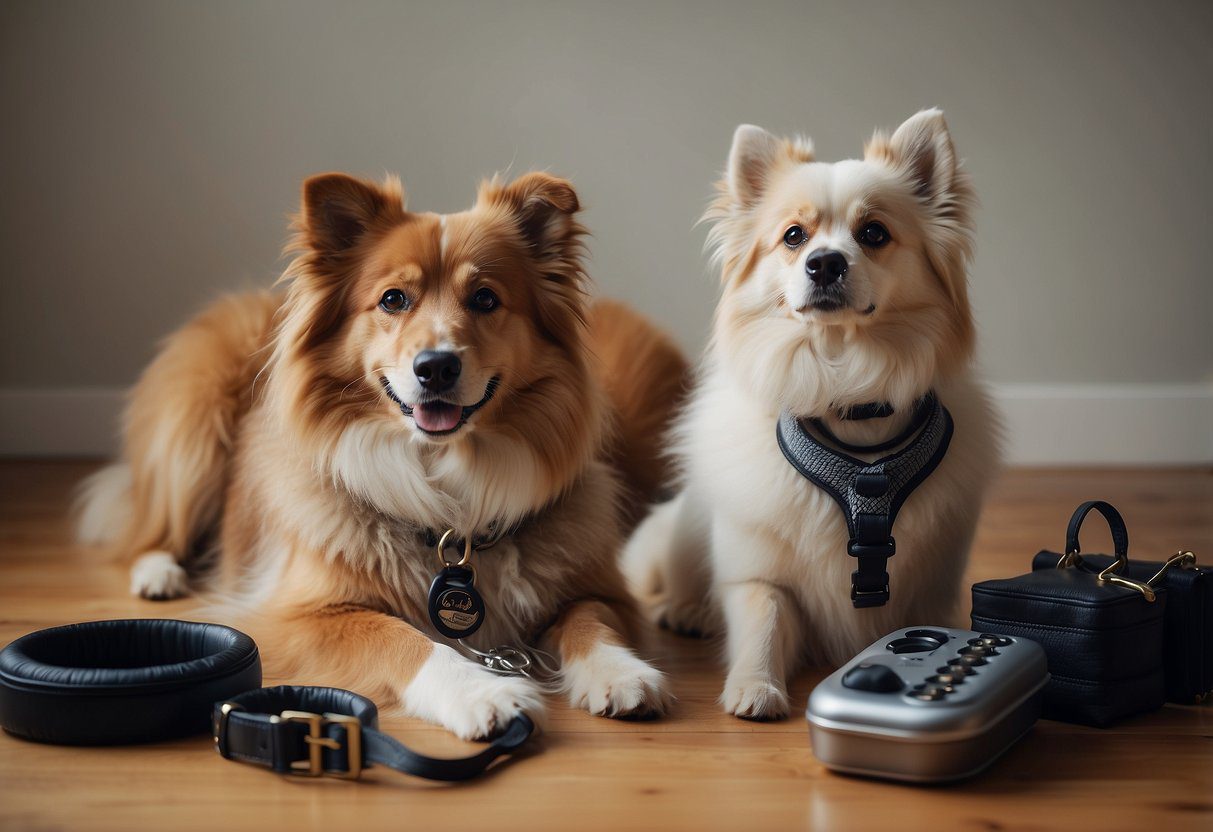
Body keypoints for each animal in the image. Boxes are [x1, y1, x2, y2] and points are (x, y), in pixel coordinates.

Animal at [78, 169, 684, 737]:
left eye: (485, 298)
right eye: (393, 299)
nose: (436, 367)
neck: (447, 490)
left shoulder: (601, 589)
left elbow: (591, 620)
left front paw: (621, 672)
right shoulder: (296, 618)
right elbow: (403, 639)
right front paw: (481, 692)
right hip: (193, 424)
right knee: (153, 525)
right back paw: (159, 573)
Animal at [625, 110, 994, 722]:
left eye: (874, 234)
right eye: (794, 237)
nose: (824, 263)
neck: (848, 396)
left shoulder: (935, 582)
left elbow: (935, 624)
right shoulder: (759, 575)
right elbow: (763, 622)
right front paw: (755, 686)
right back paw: (687, 609)